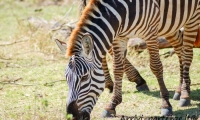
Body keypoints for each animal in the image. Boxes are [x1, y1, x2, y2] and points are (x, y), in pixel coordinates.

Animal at [63, 0, 200, 119]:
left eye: (85, 77)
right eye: (66, 78)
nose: (72, 115)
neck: (123, 11)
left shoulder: (150, 33)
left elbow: (156, 66)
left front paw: (165, 104)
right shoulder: (119, 37)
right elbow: (117, 69)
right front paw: (112, 105)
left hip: (193, 17)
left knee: (187, 54)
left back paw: (185, 95)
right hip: (171, 24)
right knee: (180, 49)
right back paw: (180, 90)